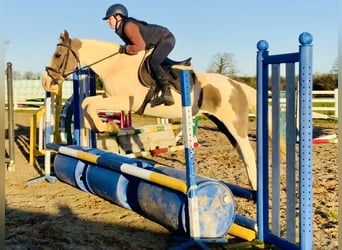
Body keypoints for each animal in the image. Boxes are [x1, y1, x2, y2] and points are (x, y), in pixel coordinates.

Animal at [42, 29, 284, 189]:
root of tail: (237, 85)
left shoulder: (124, 101)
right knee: (243, 155)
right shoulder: (109, 97)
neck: (114, 66)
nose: (46, 83)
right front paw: (103, 127)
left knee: (248, 154)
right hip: (224, 126)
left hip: (235, 126)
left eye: (57, 55)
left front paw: (108, 126)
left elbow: (90, 105)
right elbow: (86, 104)